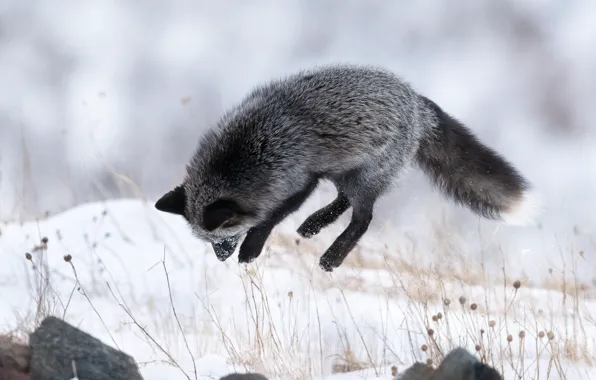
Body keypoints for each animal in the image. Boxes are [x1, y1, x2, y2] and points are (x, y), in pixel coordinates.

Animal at [156, 63, 544, 272]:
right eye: (206, 241)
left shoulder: (299, 180)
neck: (251, 147)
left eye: (223, 238)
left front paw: (251, 251)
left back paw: (331, 257)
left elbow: (270, 218)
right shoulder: (309, 176)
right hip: (345, 171)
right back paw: (312, 227)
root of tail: (417, 102)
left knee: (362, 219)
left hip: (364, 178)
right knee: (344, 202)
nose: (221, 258)